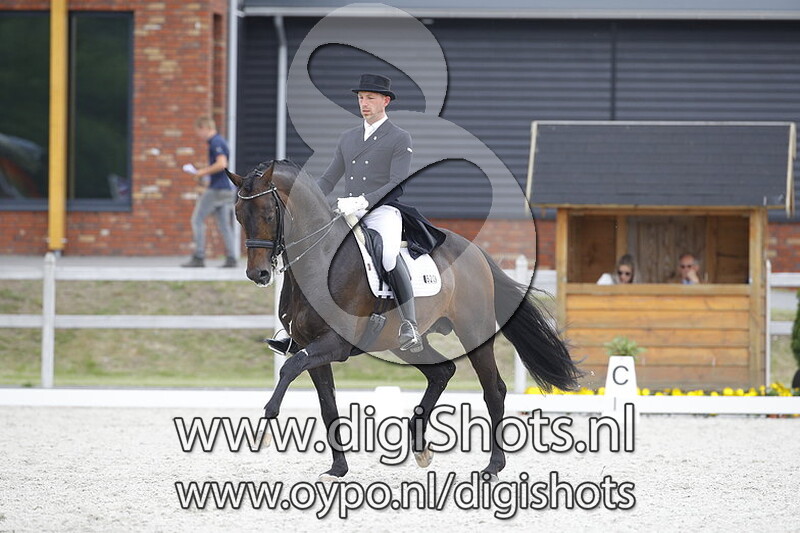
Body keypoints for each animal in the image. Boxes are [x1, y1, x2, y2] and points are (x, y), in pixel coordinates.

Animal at [227, 159, 581, 481]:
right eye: (239, 215)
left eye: (269, 214)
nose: (258, 274)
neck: (320, 259)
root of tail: (476, 252)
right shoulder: (309, 346)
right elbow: (327, 404)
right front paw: (338, 469)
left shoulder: (334, 344)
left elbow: (289, 368)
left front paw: (264, 429)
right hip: (404, 344)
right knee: (443, 372)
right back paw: (420, 443)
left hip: (473, 332)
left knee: (493, 390)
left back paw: (492, 467)